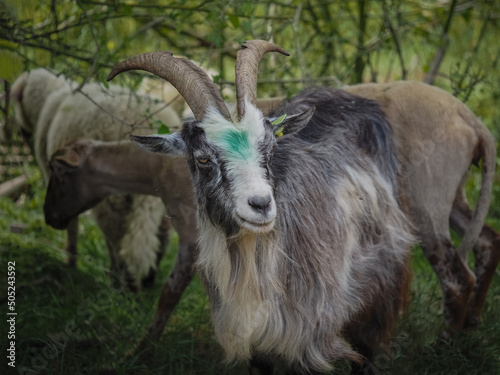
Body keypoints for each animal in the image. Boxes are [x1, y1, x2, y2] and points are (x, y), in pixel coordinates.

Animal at [10, 67, 182, 290]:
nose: (19, 132)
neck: (50, 98)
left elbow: (72, 225)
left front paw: (70, 262)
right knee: (161, 233)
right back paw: (148, 280)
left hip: (114, 194)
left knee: (116, 234)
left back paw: (122, 282)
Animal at [106, 39, 414, 374]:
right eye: (203, 158)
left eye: (270, 148)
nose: (261, 204)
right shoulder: (253, 340)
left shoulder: (307, 336)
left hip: (380, 281)